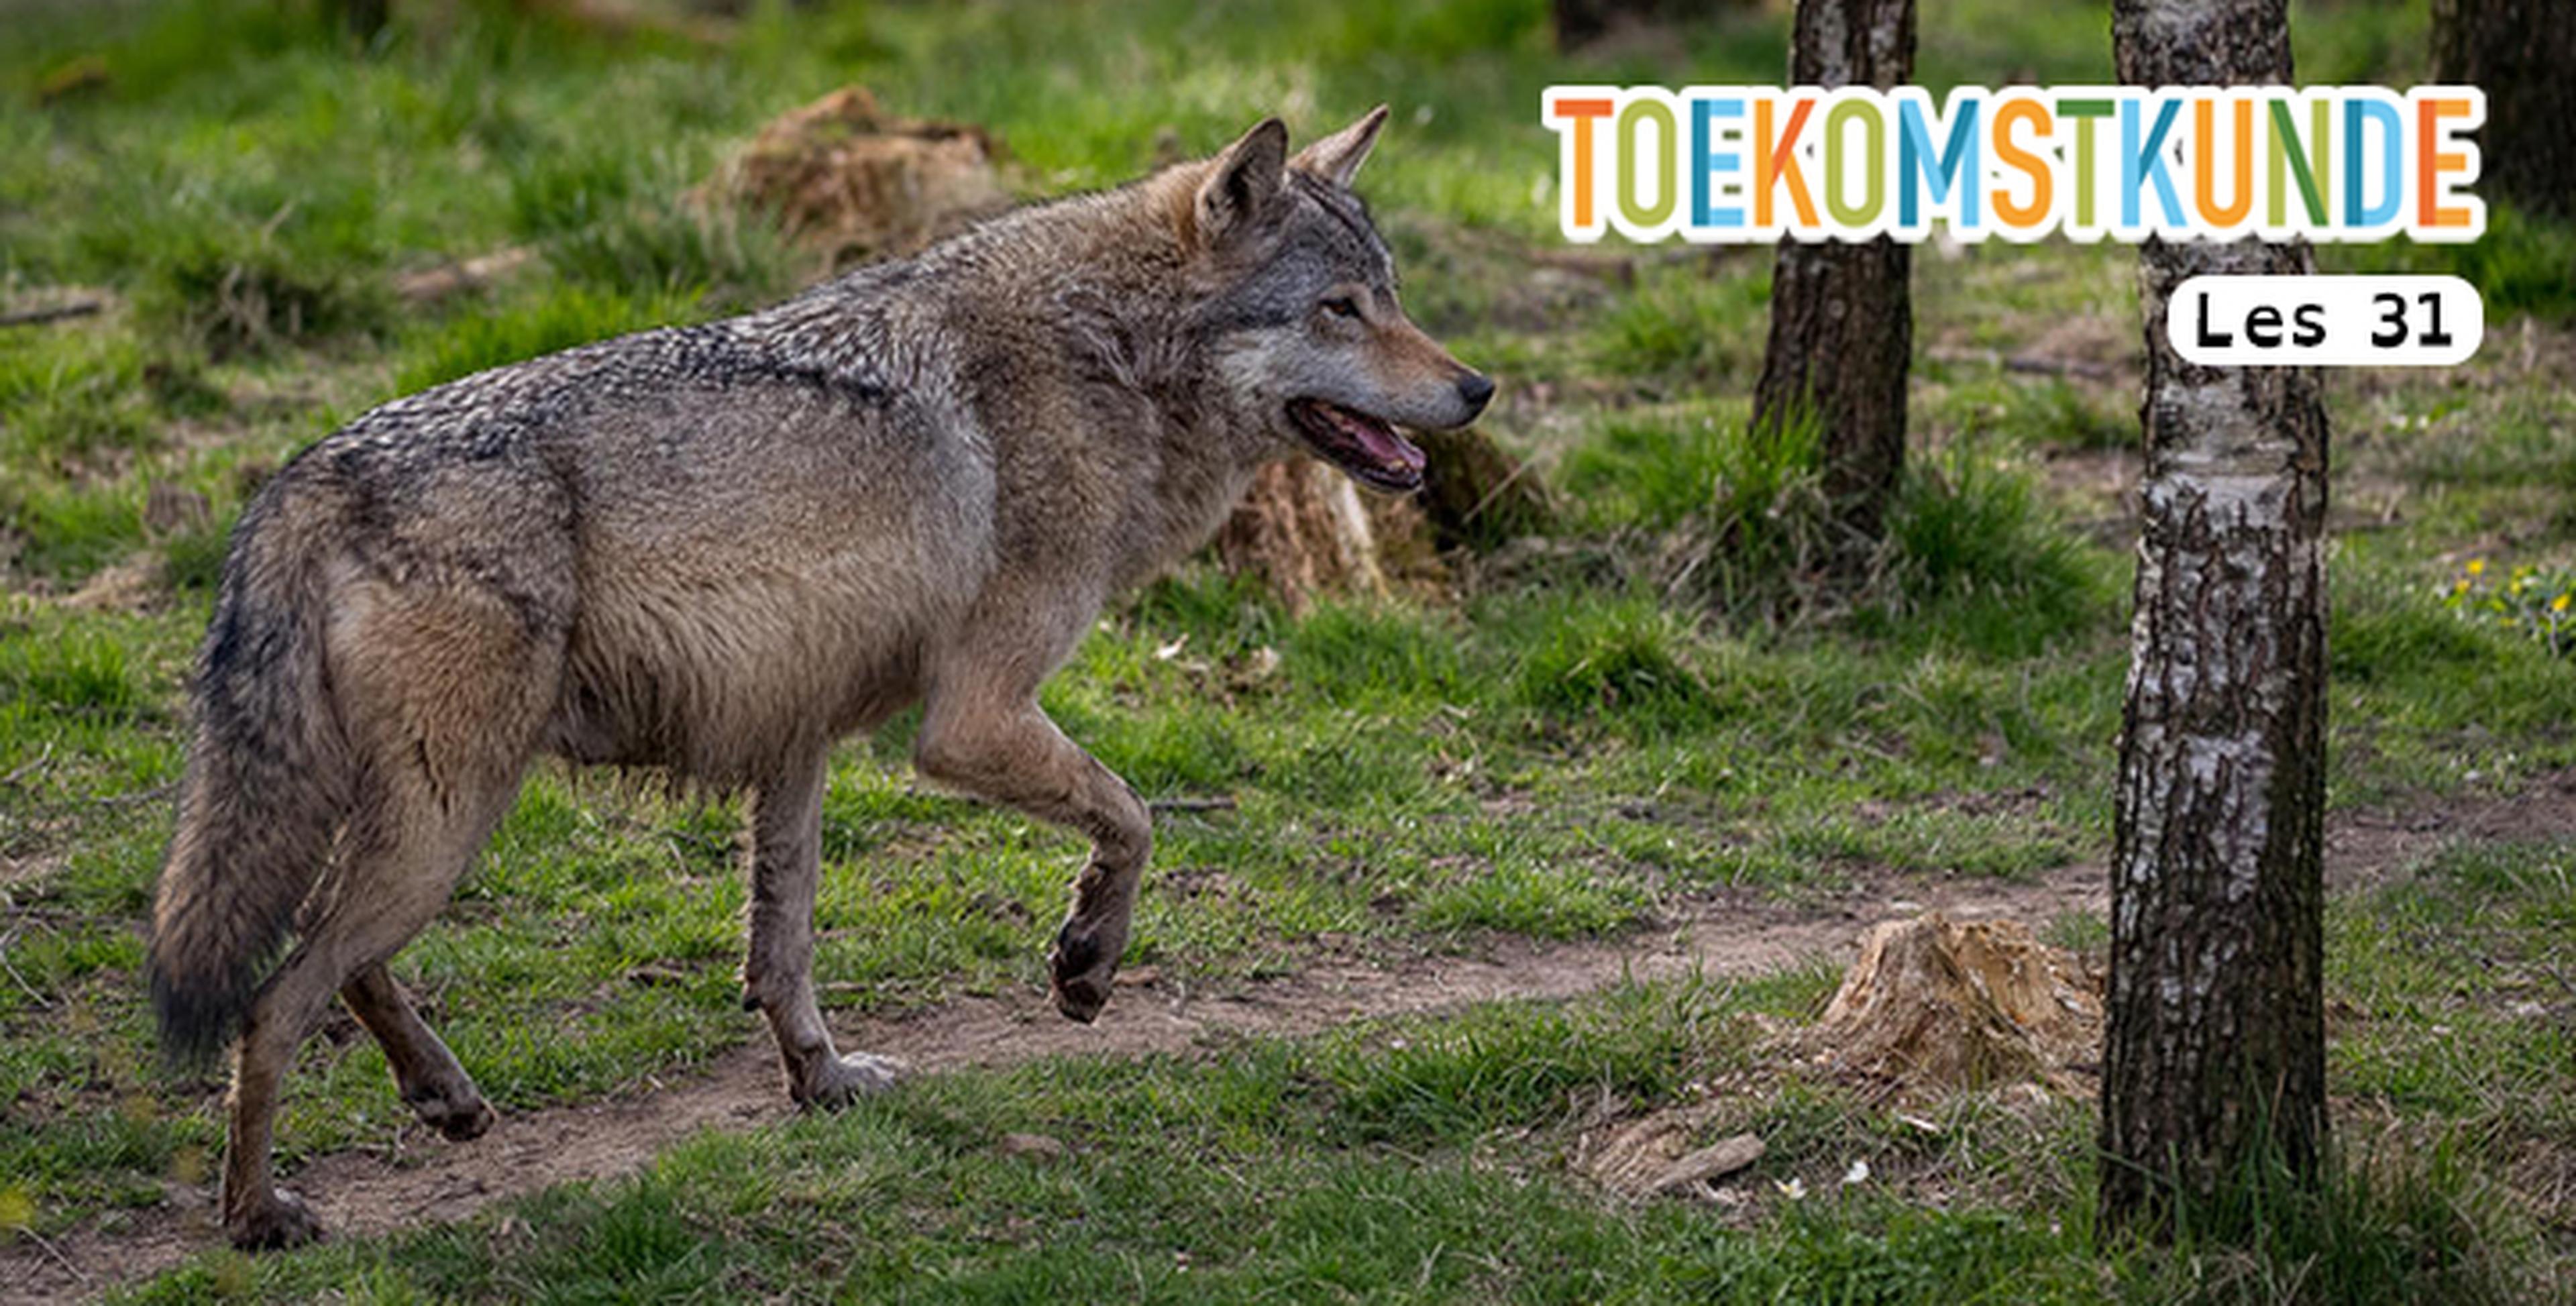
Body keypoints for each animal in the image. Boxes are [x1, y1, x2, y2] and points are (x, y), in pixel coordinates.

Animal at [146, 106, 1491, 1249]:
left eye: (1389, 297)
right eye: (1339, 307)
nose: (1475, 388)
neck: (1103, 356)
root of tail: (302, 475)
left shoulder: (798, 738)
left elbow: (781, 952)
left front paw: (825, 1079)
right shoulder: (970, 721)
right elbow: (1137, 817)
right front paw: (1085, 965)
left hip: (427, 821)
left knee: (334, 957)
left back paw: (445, 1097)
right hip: (450, 822)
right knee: (274, 999)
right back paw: (257, 1215)